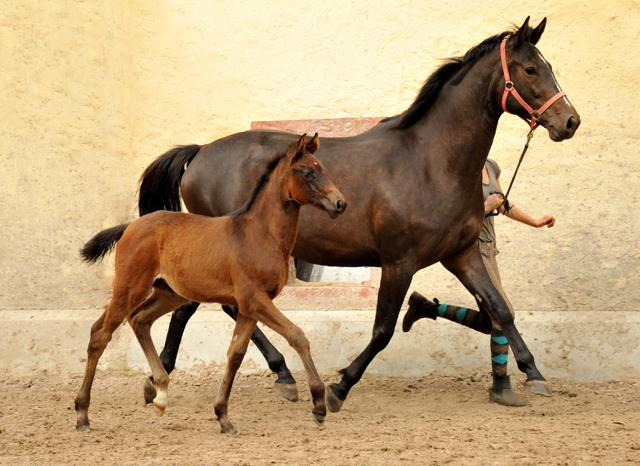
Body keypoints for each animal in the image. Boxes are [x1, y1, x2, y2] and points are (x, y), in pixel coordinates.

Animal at [74, 134, 344, 434]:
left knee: (139, 320)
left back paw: (160, 395)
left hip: (169, 294)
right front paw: (318, 405)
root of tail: (129, 226)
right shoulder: (254, 299)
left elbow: (236, 354)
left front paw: (223, 416)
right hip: (130, 288)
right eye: (308, 173)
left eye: (324, 169)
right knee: (100, 334)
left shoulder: (250, 306)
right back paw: (82, 414)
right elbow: (298, 336)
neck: (260, 234)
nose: (340, 203)